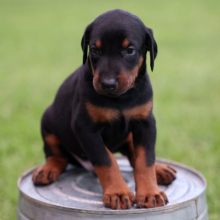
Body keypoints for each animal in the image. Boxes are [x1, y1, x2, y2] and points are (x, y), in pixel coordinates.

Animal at [31, 9, 176, 210]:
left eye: (130, 50)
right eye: (94, 50)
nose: (108, 84)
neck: (120, 99)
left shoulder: (145, 122)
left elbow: (145, 159)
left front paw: (149, 193)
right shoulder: (85, 128)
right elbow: (106, 160)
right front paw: (118, 192)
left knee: (134, 154)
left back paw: (160, 169)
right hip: (48, 121)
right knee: (57, 155)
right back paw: (47, 169)